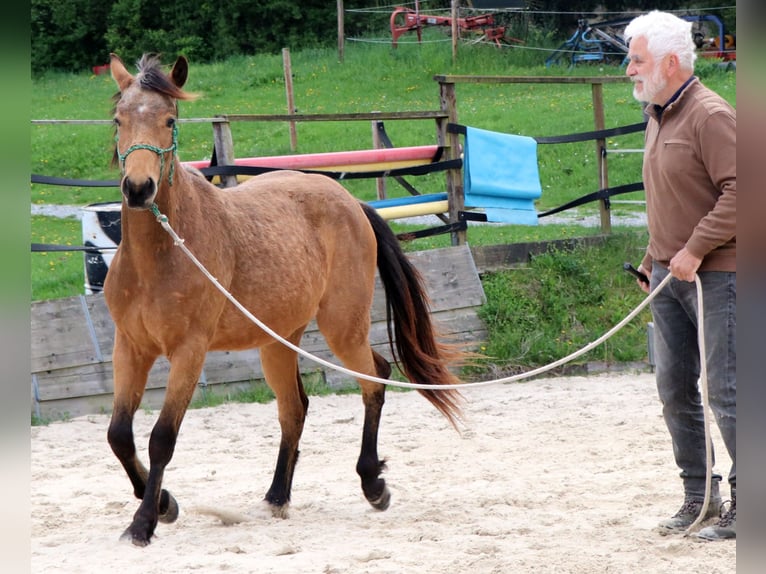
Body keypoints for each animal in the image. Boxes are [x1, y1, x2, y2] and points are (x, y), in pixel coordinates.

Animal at [104, 53, 465, 546]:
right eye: (118, 120)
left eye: (170, 120)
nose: (138, 188)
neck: (160, 254)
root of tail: (350, 201)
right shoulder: (130, 348)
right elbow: (119, 435)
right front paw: (164, 504)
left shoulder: (189, 353)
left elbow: (161, 438)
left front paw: (144, 522)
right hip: (277, 341)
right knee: (294, 409)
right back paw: (277, 496)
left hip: (342, 327)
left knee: (374, 379)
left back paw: (373, 484)